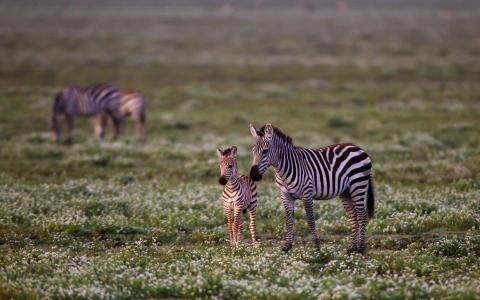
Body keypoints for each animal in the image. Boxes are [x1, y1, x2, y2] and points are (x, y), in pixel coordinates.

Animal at [248, 123, 376, 254]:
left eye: (265, 151)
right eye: (253, 151)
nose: (253, 175)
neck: (283, 170)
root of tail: (358, 148)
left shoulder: (307, 194)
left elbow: (310, 220)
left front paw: (317, 247)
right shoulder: (286, 196)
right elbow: (288, 220)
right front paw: (287, 247)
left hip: (358, 185)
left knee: (362, 215)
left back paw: (361, 249)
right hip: (346, 192)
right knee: (353, 217)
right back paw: (351, 249)